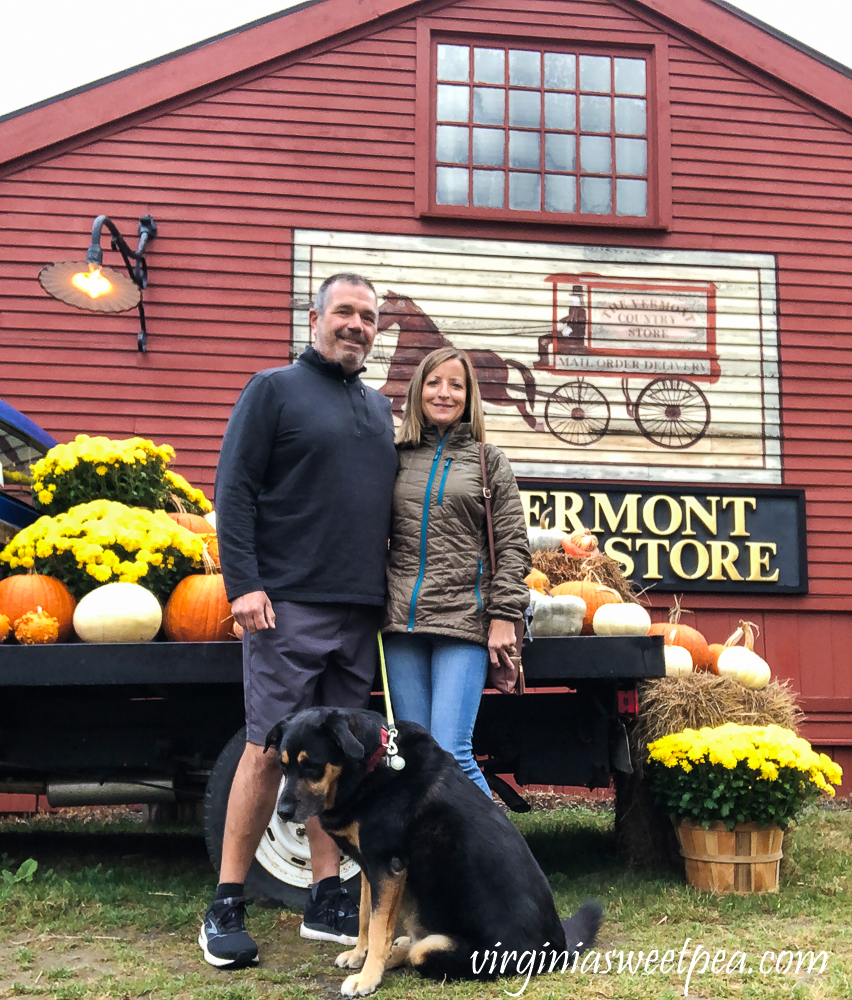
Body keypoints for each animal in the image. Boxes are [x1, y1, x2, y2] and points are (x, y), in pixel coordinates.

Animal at [262, 708, 604, 996]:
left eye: (312, 767)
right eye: (282, 767)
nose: (282, 813)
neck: (372, 765)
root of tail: (559, 949)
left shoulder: (387, 866)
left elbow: (378, 927)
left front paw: (368, 977)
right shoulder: (370, 867)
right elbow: (366, 919)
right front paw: (361, 955)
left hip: (439, 949)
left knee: (417, 952)